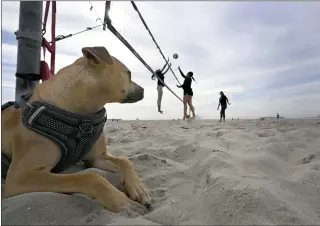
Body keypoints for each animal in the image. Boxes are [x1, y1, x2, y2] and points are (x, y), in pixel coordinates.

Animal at [1, 46, 151, 213]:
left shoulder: (97, 158)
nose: (143, 89)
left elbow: (125, 160)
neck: (83, 116)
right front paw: (123, 202)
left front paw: (139, 188)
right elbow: (90, 177)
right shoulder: (20, 176)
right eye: (129, 74)